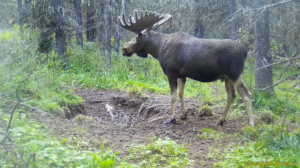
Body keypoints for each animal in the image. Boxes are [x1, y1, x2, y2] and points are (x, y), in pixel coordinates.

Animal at [117, 10, 253, 126]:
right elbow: (181, 93)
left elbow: (173, 96)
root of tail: (245, 52)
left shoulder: (171, 73)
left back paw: (251, 124)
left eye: (136, 37)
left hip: (235, 74)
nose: (124, 49)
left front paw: (171, 118)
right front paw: (184, 115)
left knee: (247, 95)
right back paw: (220, 120)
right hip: (227, 77)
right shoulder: (182, 75)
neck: (158, 50)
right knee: (232, 95)